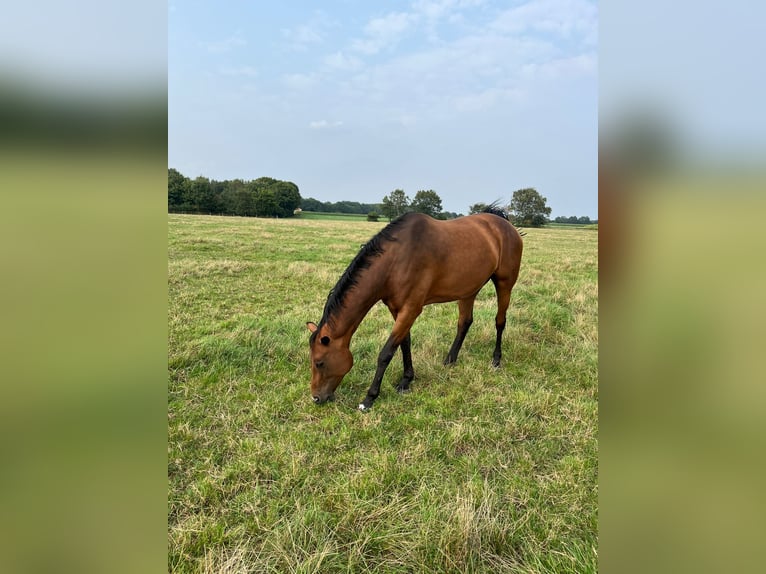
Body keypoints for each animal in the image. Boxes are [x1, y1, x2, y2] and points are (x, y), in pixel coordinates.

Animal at [304, 209, 520, 412]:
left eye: (319, 362)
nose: (316, 398)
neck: (396, 260)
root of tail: (504, 224)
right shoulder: (396, 309)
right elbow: (404, 343)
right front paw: (406, 380)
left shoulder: (411, 309)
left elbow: (386, 353)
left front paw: (369, 398)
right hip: (469, 288)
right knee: (464, 322)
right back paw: (450, 360)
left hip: (504, 284)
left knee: (500, 321)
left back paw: (496, 360)